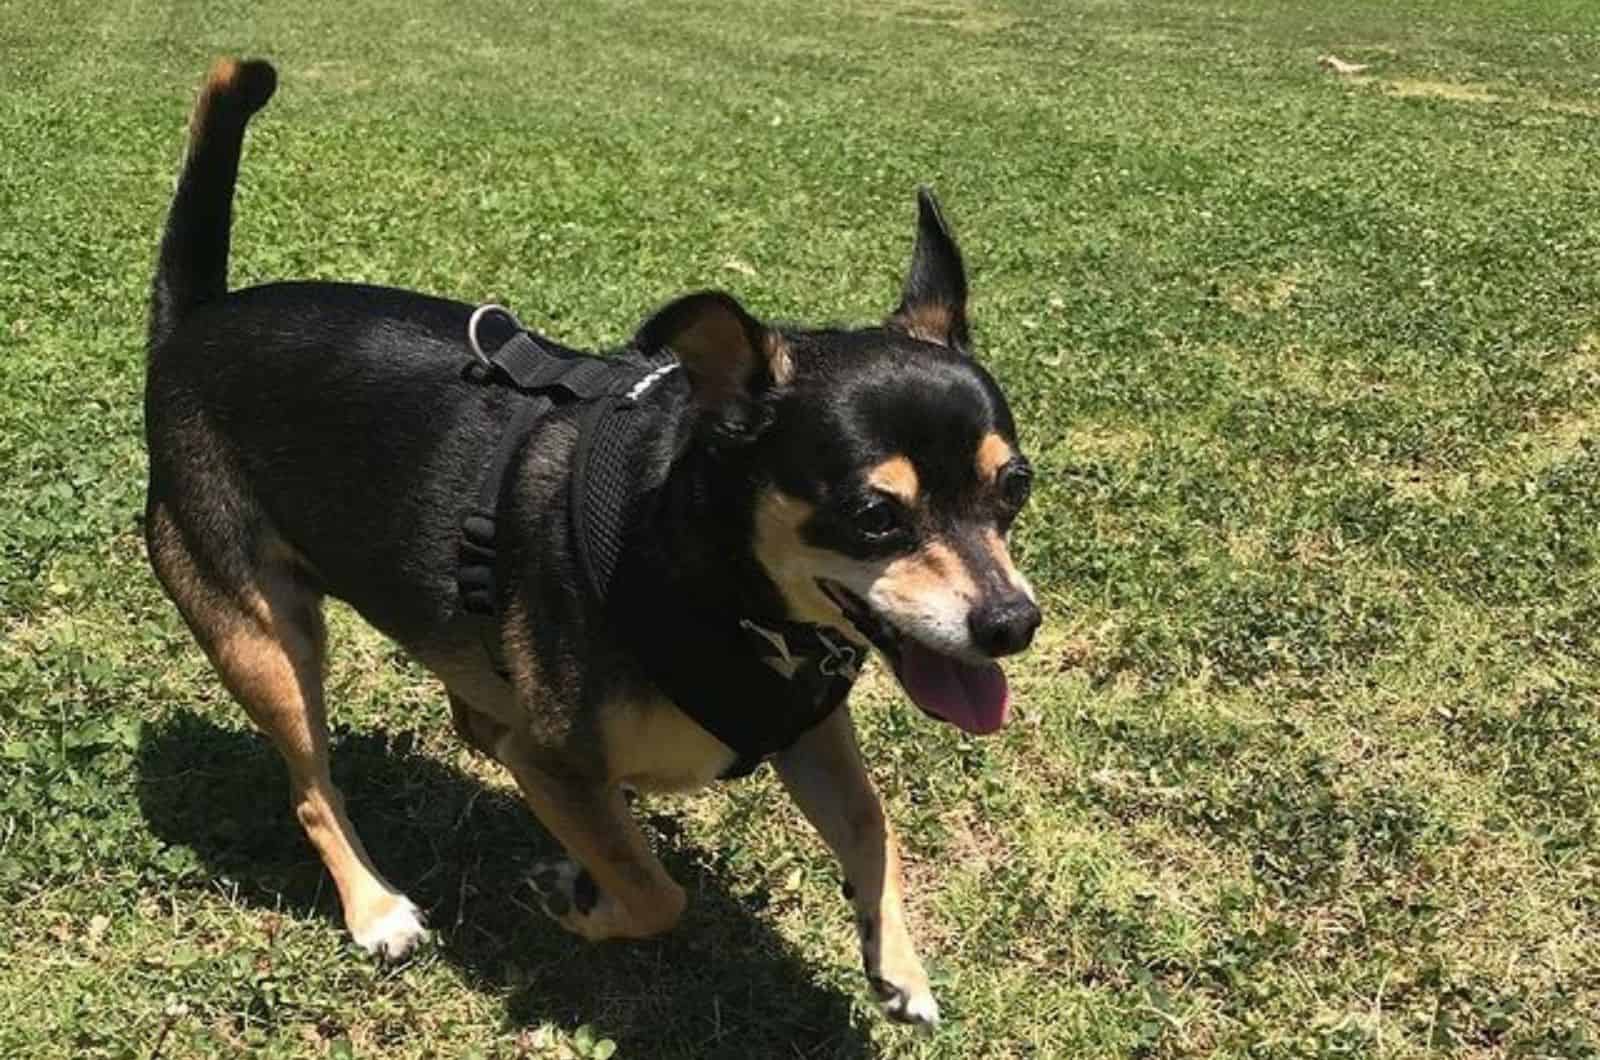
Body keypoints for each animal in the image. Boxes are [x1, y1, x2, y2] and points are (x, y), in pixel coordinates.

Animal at [147, 60, 1036, 1031]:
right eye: (875, 515)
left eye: (1015, 487)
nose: (1012, 624)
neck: (712, 578)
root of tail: (193, 323)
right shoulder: (556, 763)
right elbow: (656, 894)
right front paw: (575, 898)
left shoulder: (807, 725)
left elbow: (873, 824)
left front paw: (897, 964)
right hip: (261, 636)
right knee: (313, 789)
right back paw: (375, 907)